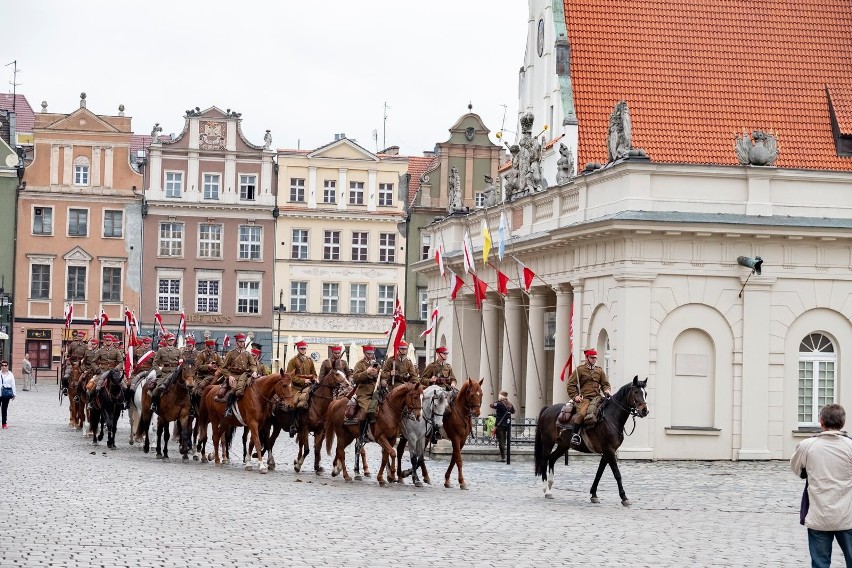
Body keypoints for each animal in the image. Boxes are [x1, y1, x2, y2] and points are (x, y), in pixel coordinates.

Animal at [536, 378, 648, 506]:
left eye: (645, 393)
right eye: (635, 392)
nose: (645, 410)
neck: (611, 417)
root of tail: (548, 408)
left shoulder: (607, 452)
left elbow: (599, 473)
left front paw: (594, 494)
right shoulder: (609, 451)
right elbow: (617, 474)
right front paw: (624, 497)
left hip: (563, 445)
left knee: (552, 459)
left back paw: (550, 486)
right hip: (548, 442)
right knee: (544, 461)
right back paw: (546, 489)